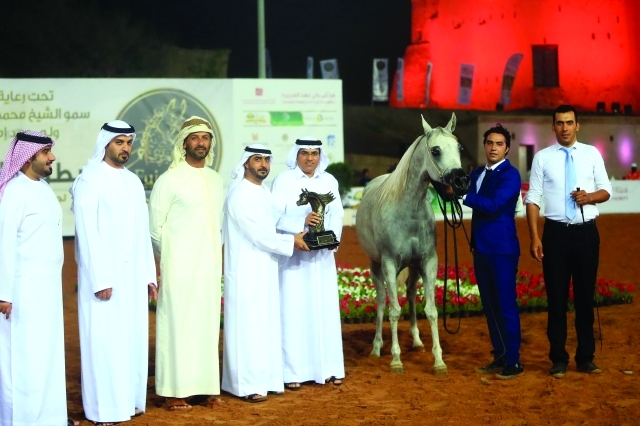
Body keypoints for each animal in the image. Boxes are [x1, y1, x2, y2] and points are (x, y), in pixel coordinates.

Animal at [356, 113, 470, 372]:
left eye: (459, 147)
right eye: (436, 150)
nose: (461, 181)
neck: (407, 210)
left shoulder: (428, 262)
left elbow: (431, 311)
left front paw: (438, 360)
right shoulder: (389, 263)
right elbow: (394, 311)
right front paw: (396, 359)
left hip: (413, 267)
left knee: (409, 293)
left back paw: (416, 340)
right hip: (375, 266)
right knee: (381, 302)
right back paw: (377, 347)